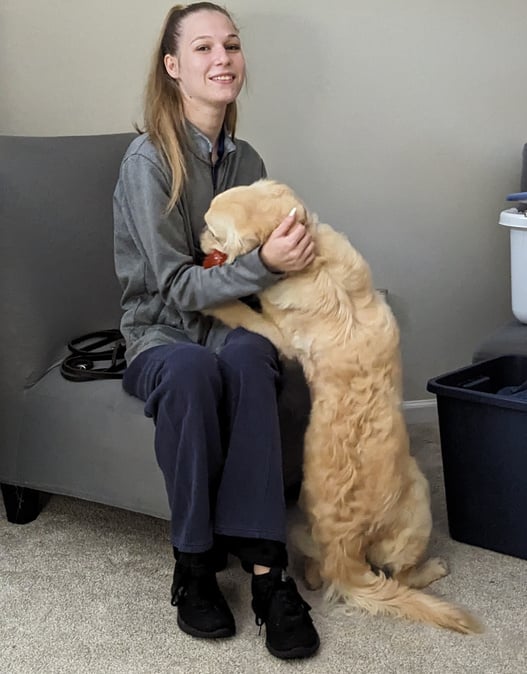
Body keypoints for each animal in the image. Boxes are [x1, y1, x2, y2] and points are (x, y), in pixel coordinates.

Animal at [201, 178, 482, 632]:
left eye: (212, 228)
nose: (198, 239)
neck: (315, 261)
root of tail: (345, 550)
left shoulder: (280, 338)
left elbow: (245, 313)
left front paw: (213, 302)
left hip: (412, 498)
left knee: (400, 575)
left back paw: (431, 568)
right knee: (366, 573)